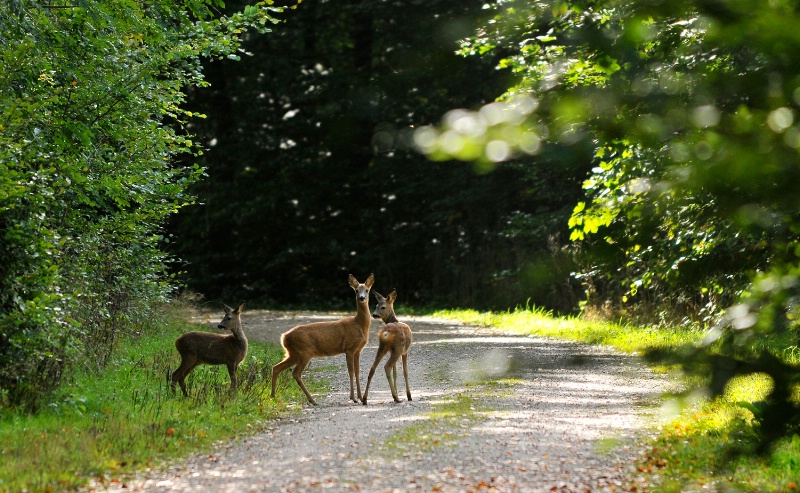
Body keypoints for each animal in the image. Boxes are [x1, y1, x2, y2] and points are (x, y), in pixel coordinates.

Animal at [272, 272, 376, 404]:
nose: (362, 298)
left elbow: (358, 372)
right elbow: (351, 372)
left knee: (276, 367)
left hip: (294, 353)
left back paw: (272, 396)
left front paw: (361, 398)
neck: (359, 324)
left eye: (367, 290)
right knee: (295, 373)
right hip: (305, 352)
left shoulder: (358, 350)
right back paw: (312, 400)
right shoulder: (349, 348)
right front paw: (353, 398)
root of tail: (284, 337)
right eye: (356, 290)